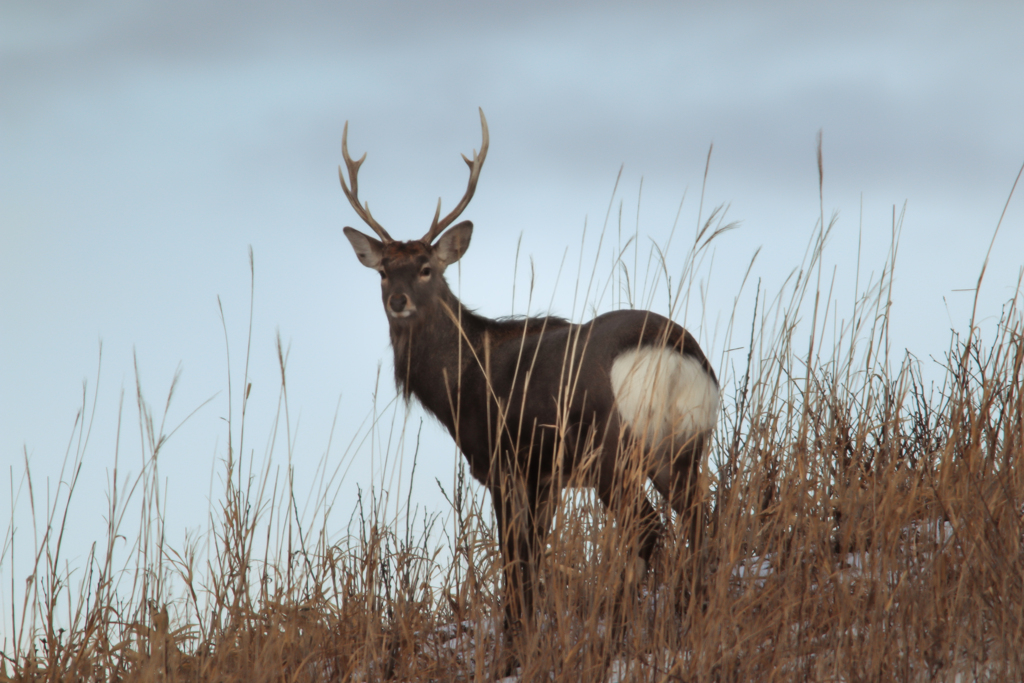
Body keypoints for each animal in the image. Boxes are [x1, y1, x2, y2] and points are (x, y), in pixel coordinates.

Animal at [339, 109, 716, 655]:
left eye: (427, 268)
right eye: (385, 270)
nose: (399, 301)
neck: (465, 380)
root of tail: (673, 355)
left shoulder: (503, 464)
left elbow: (515, 562)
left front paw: (514, 645)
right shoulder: (546, 477)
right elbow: (533, 560)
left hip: (613, 452)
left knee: (648, 532)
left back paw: (618, 634)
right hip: (684, 449)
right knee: (704, 522)